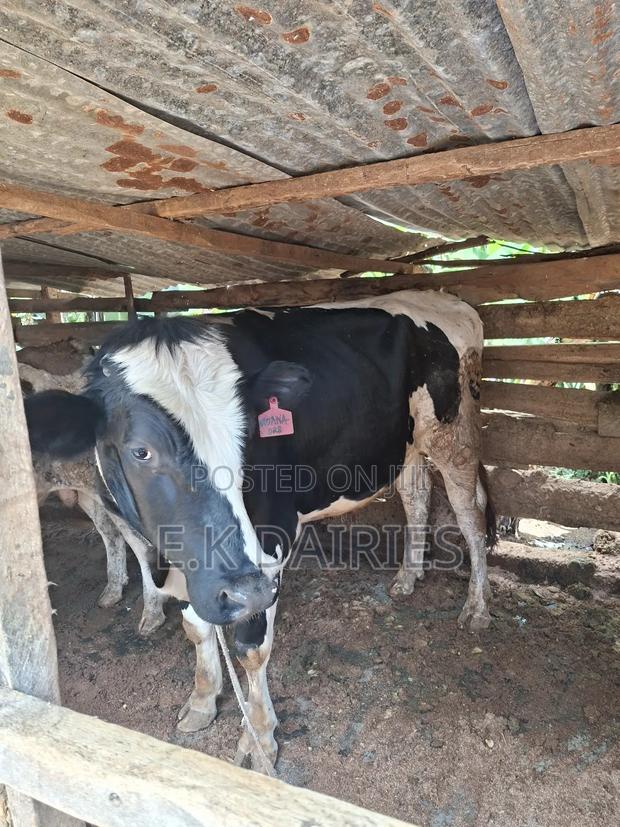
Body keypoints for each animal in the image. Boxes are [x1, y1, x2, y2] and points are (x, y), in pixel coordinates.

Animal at [24, 289, 496, 769]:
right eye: (141, 450)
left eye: (247, 437)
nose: (243, 590)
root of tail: (443, 298)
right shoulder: (200, 566)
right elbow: (198, 628)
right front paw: (202, 701)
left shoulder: (266, 552)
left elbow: (252, 649)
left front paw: (259, 738)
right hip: (406, 446)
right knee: (417, 499)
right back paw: (406, 578)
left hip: (455, 437)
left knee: (470, 517)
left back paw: (476, 607)